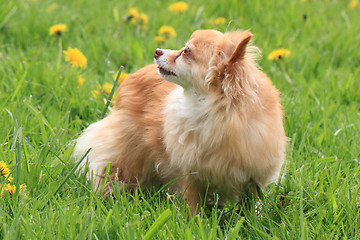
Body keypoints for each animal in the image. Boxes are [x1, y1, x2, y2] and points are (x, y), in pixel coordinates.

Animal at [74, 29, 286, 213]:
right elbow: (191, 204)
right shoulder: (190, 175)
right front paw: (193, 224)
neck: (218, 111)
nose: (157, 51)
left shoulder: (253, 178)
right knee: (109, 169)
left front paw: (250, 221)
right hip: (127, 151)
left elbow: (251, 205)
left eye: (186, 51)